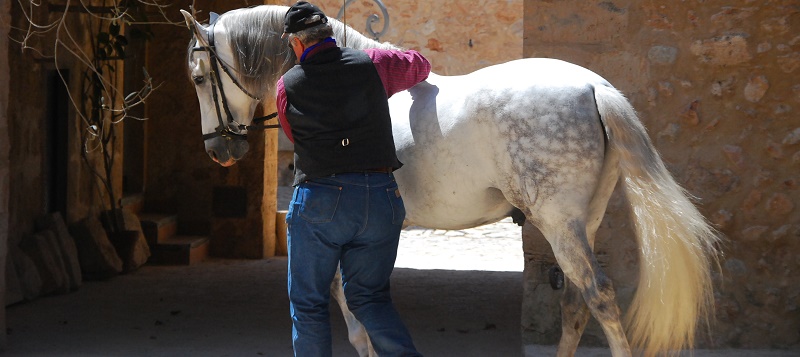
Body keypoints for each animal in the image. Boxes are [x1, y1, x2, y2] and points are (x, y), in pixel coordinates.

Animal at [180, 5, 720, 356]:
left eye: (199, 78)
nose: (219, 150)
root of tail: (593, 85)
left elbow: (353, 319)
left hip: (559, 223)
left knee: (599, 297)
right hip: (581, 223)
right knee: (575, 303)